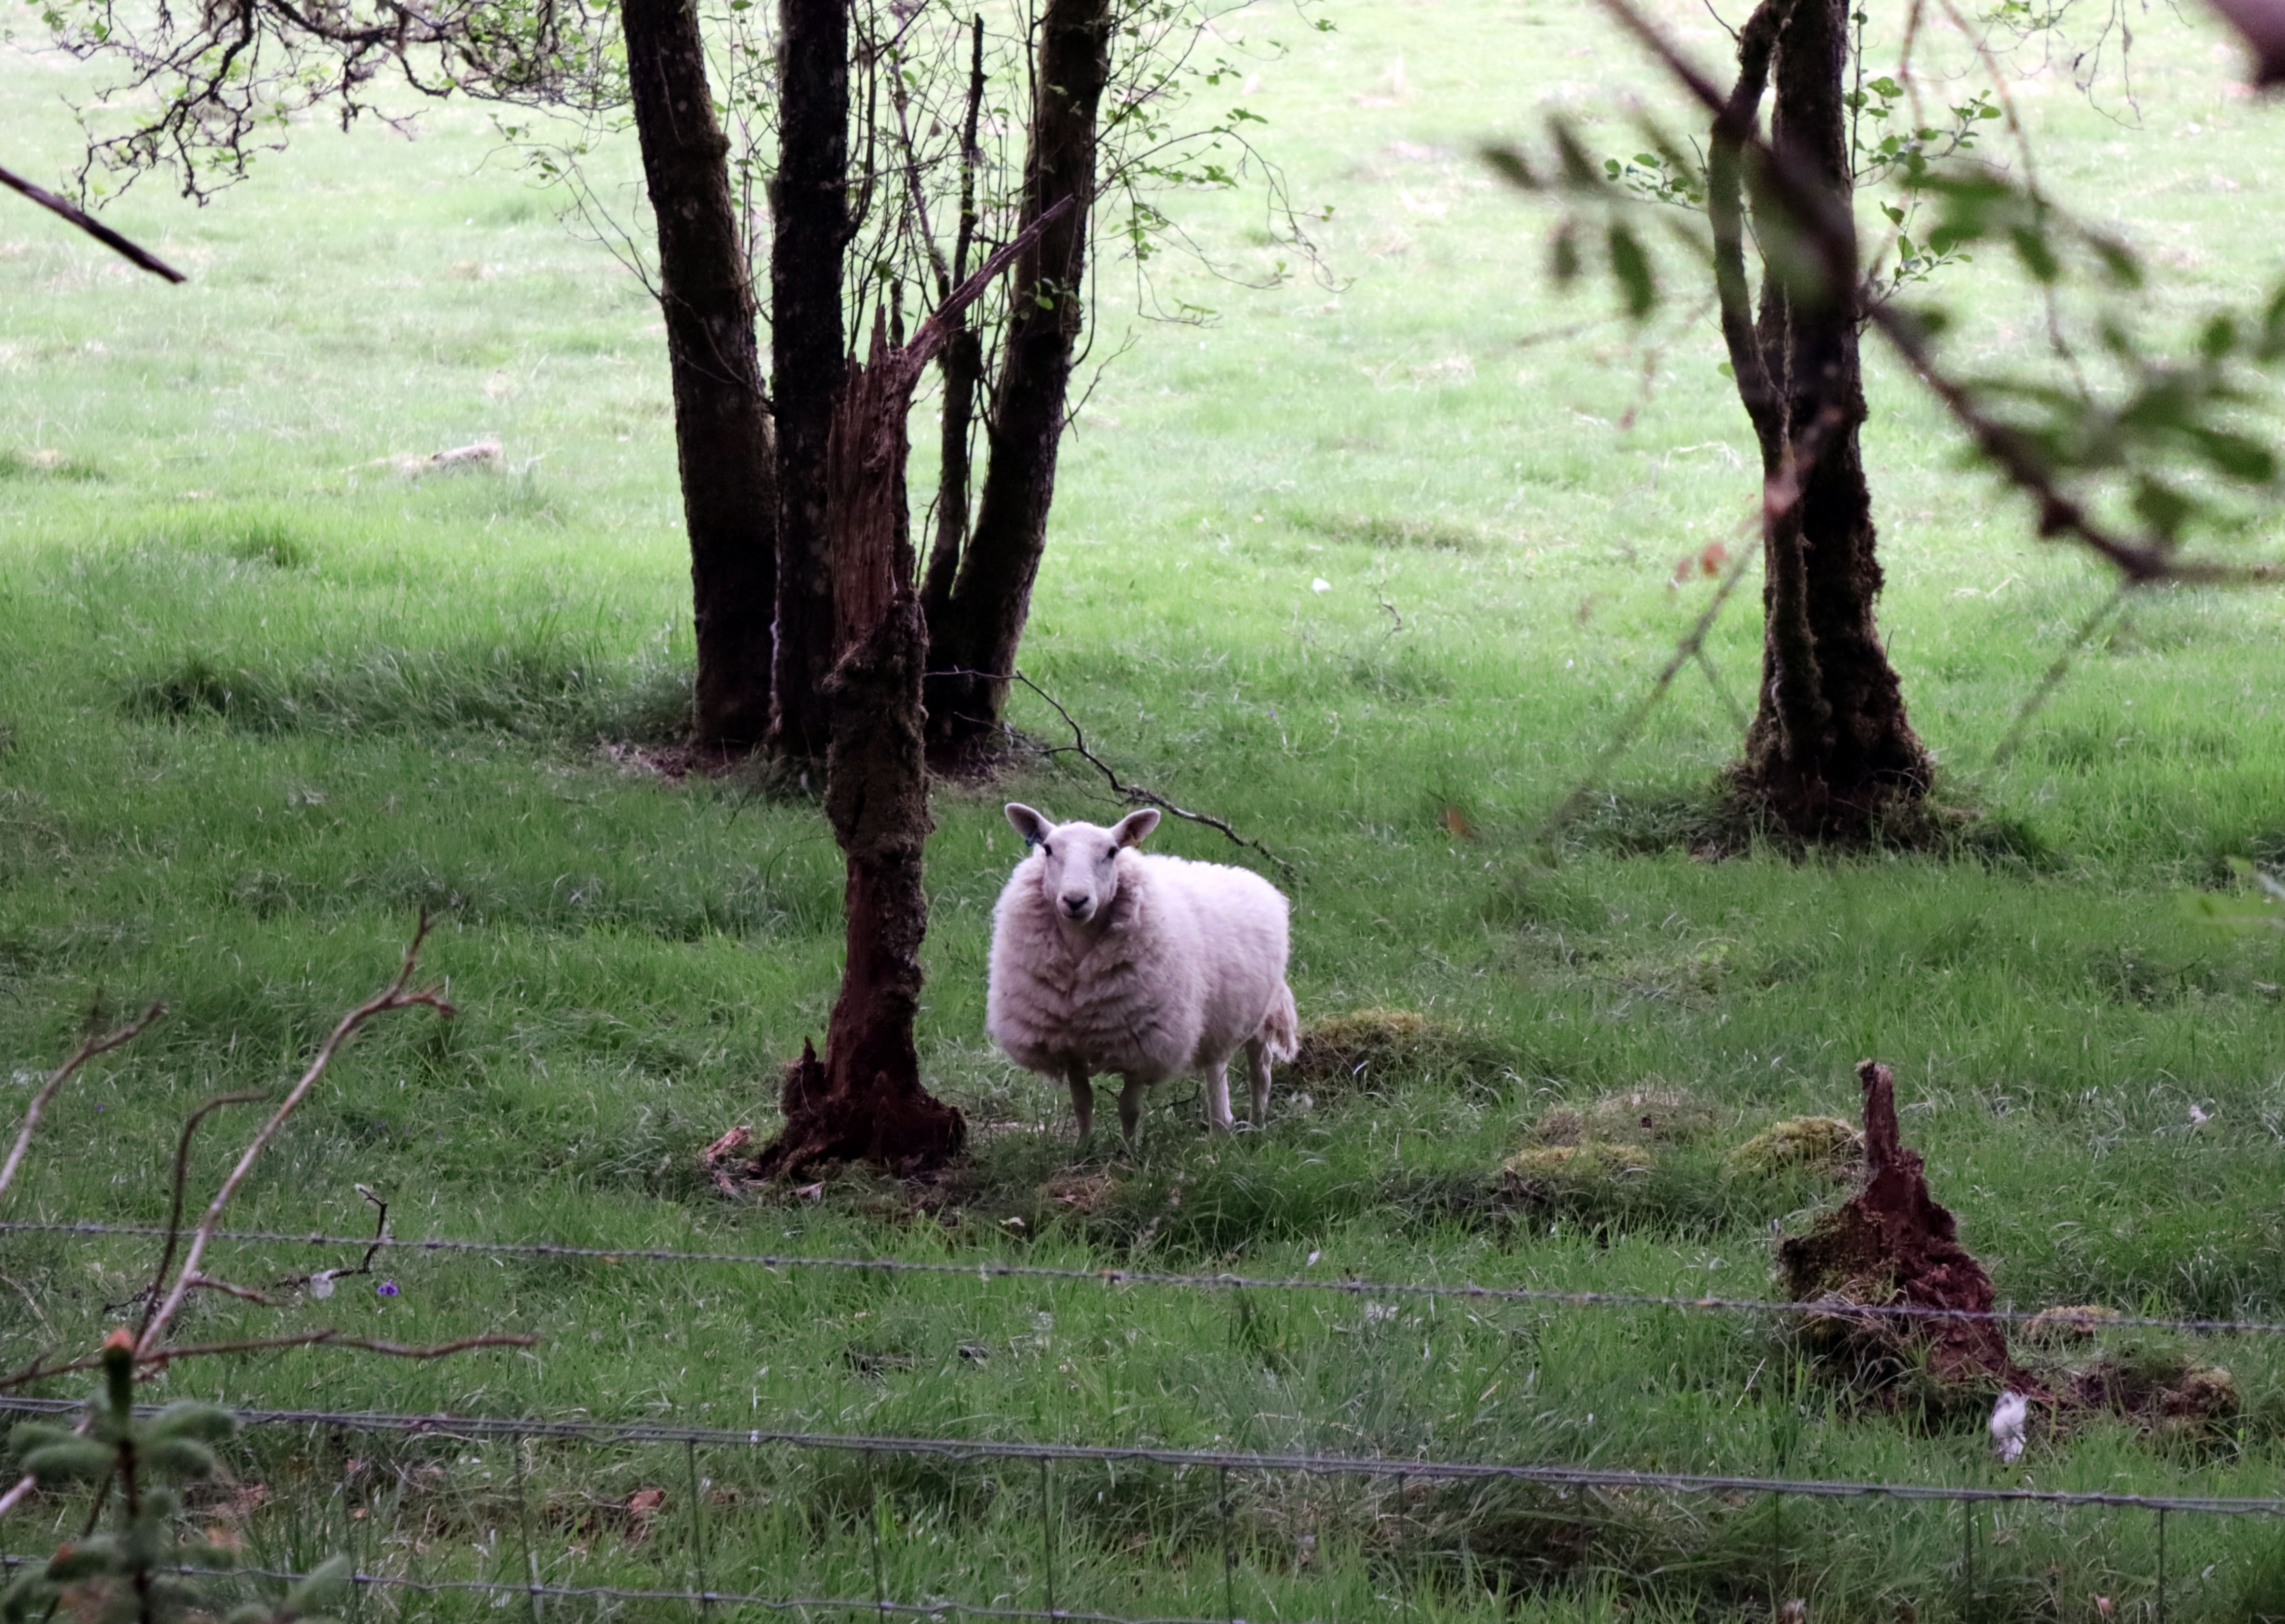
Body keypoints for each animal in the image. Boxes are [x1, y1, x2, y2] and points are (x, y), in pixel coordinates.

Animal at [986, 803, 1298, 1140]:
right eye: (1047, 849)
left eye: (1112, 852)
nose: (1075, 900)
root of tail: (1246, 875)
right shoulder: (1069, 1045)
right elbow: (1082, 1104)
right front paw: (1083, 1147)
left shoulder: (1143, 1045)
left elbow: (1129, 1109)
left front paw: (1130, 1150)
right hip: (1215, 1017)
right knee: (1216, 1066)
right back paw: (1220, 1127)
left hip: (1259, 1011)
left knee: (1260, 1070)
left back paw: (1256, 1124)